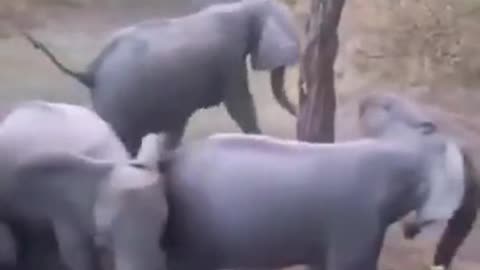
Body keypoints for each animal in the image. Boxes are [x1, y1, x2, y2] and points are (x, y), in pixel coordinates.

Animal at [23, 0, 300, 156]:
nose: (298, 111)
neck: (244, 6)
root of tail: (91, 71)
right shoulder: (229, 57)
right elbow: (240, 104)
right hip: (119, 105)